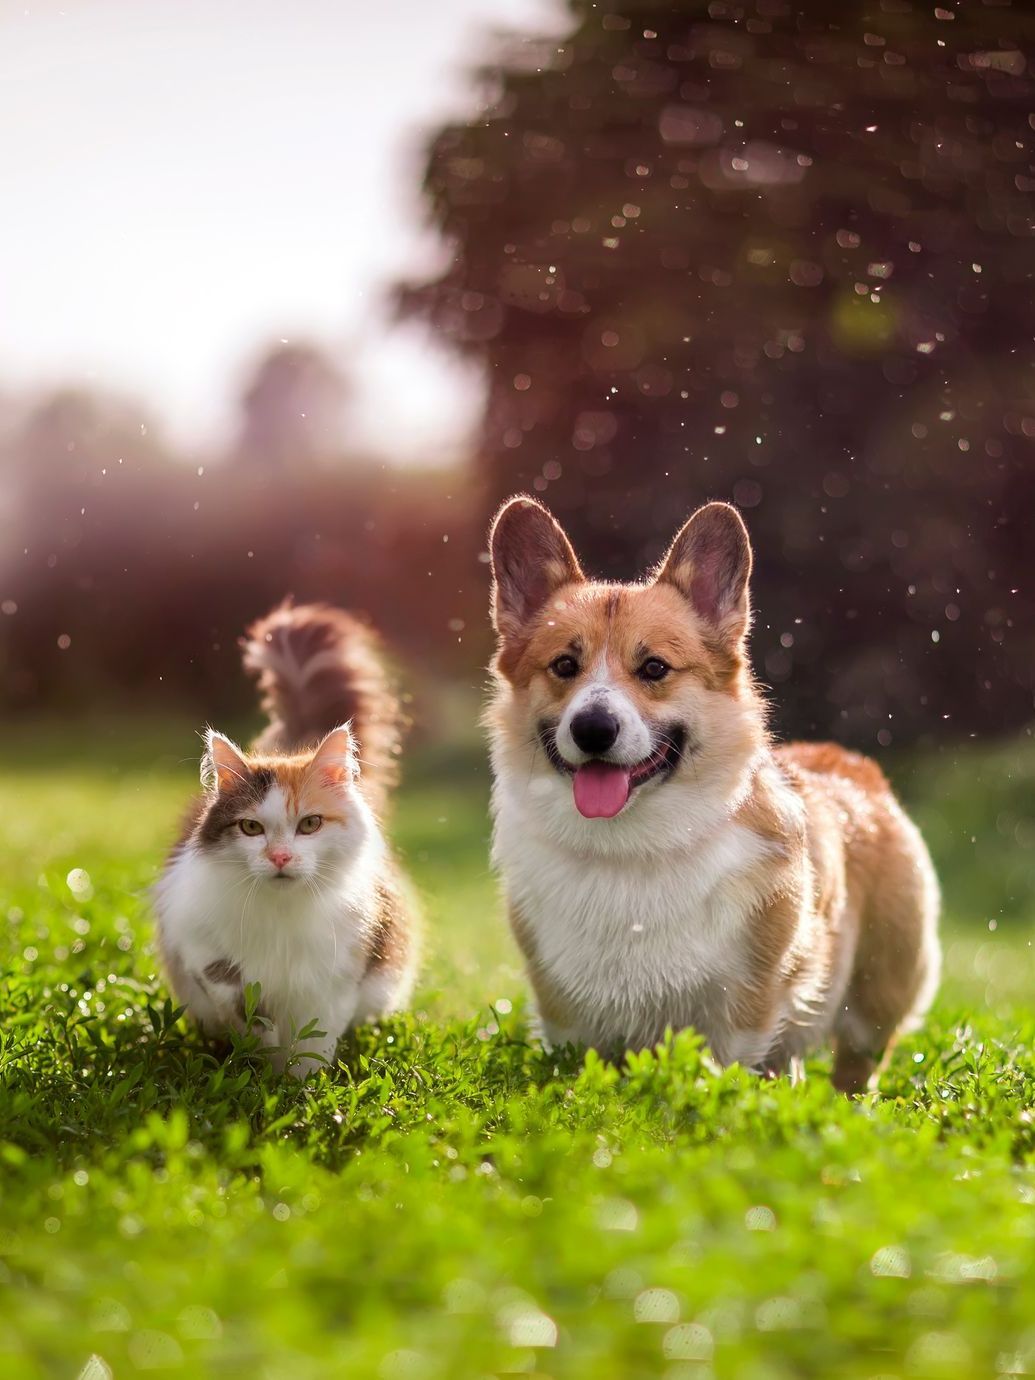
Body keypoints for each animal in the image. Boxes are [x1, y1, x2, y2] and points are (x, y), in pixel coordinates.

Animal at [153, 607, 416, 1076]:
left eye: (309, 824)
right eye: (251, 828)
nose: (279, 856)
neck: (281, 914)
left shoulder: (336, 976)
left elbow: (314, 1044)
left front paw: (299, 1086)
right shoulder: (197, 943)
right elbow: (239, 999)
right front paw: (262, 1061)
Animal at [485, 496, 938, 1087]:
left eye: (654, 667)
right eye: (564, 664)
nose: (592, 729)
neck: (630, 847)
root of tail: (853, 763)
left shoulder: (745, 1007)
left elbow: (728, 1069)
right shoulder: (564, 1012)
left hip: (875, 999)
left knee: (855, 1067)